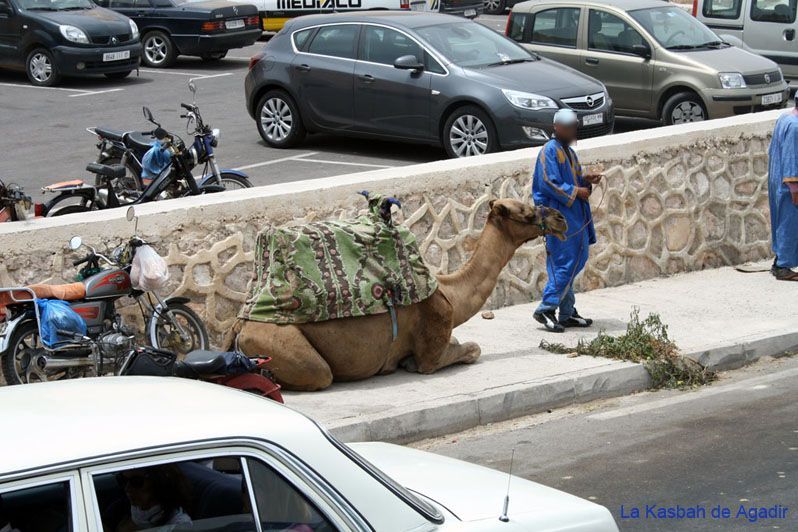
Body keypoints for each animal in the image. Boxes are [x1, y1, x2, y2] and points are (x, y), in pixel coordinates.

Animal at [225, 200, 568, 390]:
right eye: (525, 213)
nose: (560, 218)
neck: (450, 293)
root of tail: (240, 325)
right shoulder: (435, 335)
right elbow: (471, 349)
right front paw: (410, 364)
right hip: (282, 344)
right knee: (320, 374)